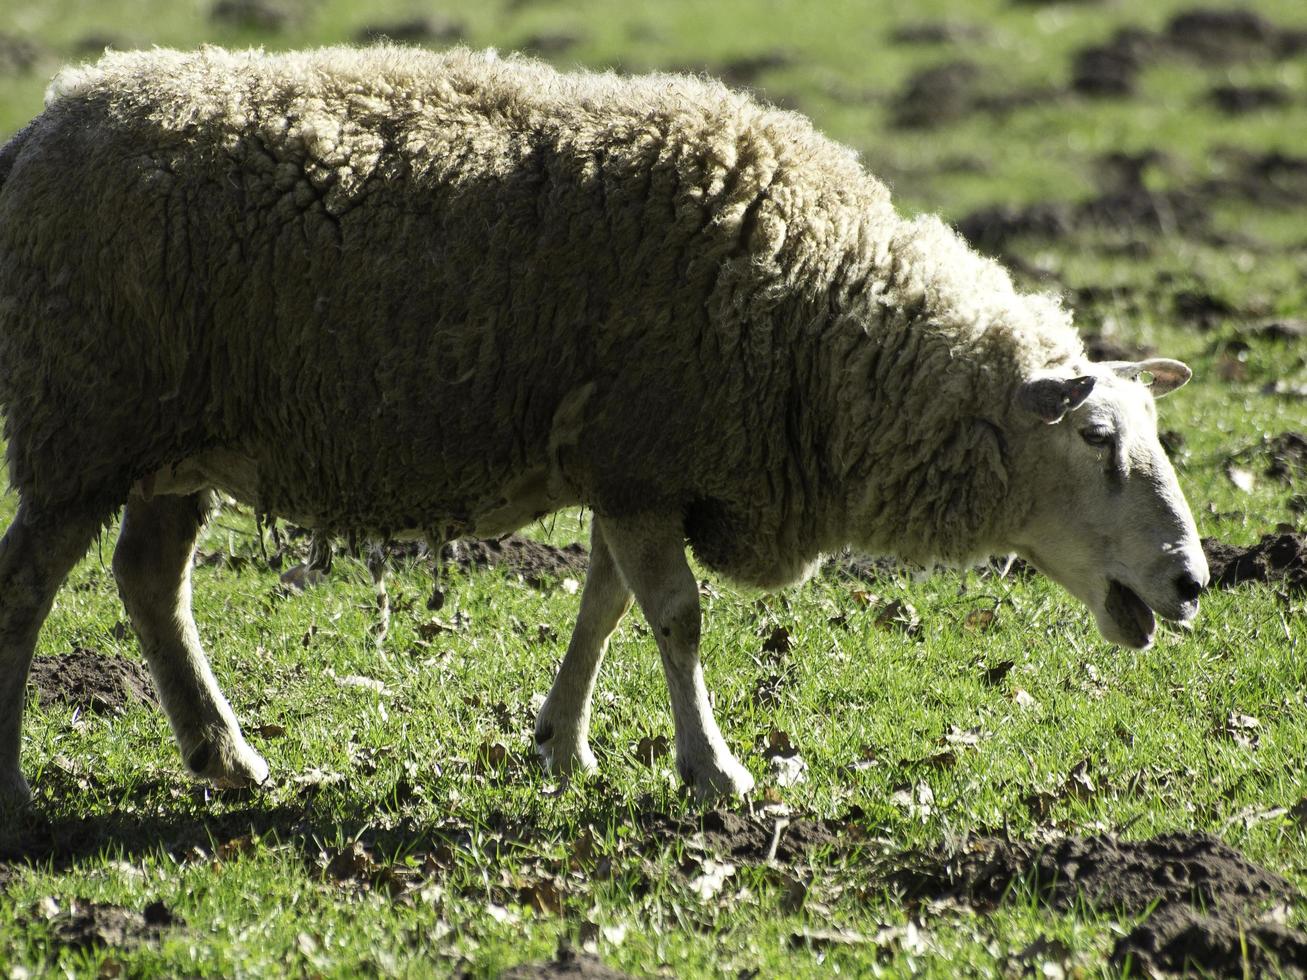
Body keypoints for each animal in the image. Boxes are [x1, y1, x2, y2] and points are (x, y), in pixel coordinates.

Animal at [0, 46, 1207, 810]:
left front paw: (561, 744)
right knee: (28, 587)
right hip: (79, 418)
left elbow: (606, 605)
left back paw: (225, 757)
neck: (828, 324)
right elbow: (675, 617)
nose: (1192, 580)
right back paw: (18, 793)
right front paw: (712, 770)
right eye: (1094, 439)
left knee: (150, 580)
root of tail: (49, 114)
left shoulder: (633, 468)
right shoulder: (641, 456)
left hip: (166, 440)